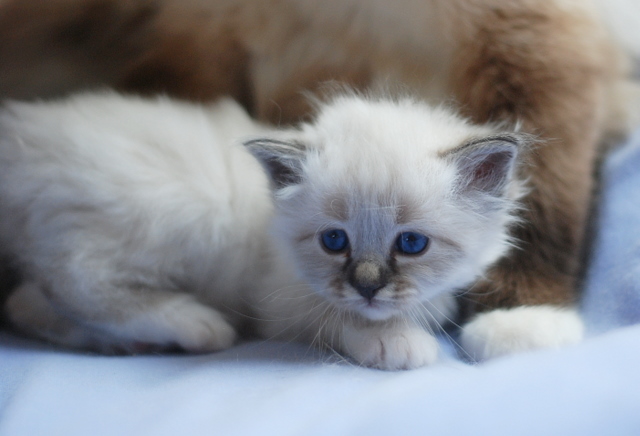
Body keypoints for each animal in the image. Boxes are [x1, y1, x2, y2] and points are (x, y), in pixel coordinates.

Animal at [0, 92, 580, 368]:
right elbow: (333, 317)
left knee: (28, 300)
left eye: (412, 244)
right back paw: (194, 325)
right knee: (72, 279)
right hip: (176, 210)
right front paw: (395, 342)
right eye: (334, 241)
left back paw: (122, 345)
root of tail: (23, 133)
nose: (367, 286)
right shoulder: (275, 300)